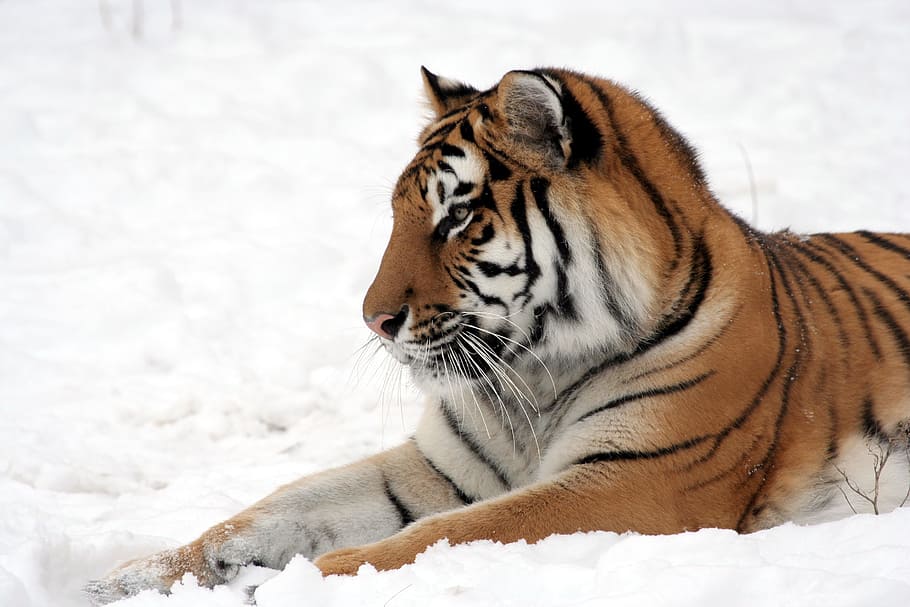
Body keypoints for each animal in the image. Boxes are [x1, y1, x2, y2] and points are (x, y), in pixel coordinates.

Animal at [87, 67, 910, 604]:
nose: (372, 319)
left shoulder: (635, 482)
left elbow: (441, 537)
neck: (536, 379)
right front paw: (130, 579)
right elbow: (276, 507)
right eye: (399, 213)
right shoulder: (437, 467)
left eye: (457, 216)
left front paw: (292, 588)